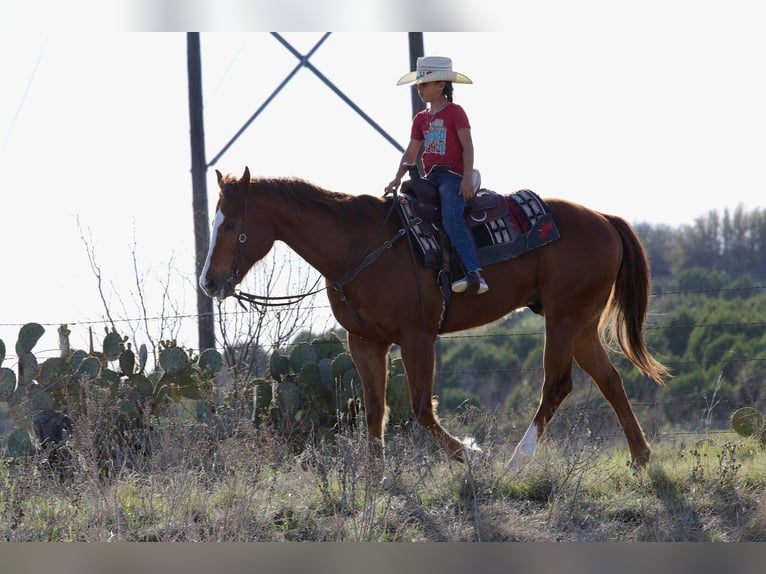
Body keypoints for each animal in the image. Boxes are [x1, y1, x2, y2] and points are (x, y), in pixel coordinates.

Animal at [200, 166, 670, 468]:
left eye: (230, 225)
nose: (209, 281)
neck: (358, 247)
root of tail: (604, 219)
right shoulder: (365, 342)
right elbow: (374, 409)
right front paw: (376, 476)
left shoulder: (417, 336)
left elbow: (422, 408)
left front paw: (470, 455)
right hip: (582, 323)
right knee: (610, 380)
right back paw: (640, 457)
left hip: (563, 318)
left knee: (557, 385)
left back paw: (516, 461)